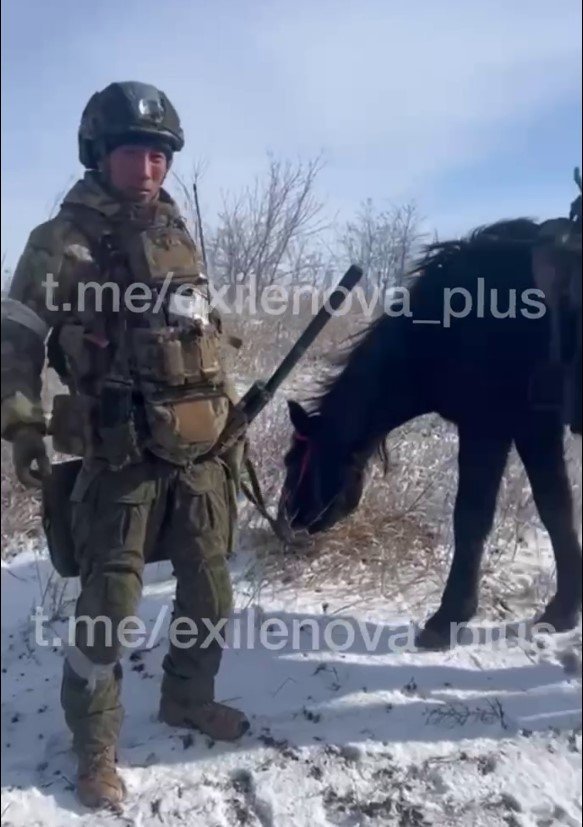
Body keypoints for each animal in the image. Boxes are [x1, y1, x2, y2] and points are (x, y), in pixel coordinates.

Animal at [276, 217, 580, 652]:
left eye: (294, 462)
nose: (287, 520)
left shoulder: (487, 428)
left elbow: (471, 517)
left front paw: (448, 618)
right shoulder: (534, 428)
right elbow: (556, 507)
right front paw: (564, 609)